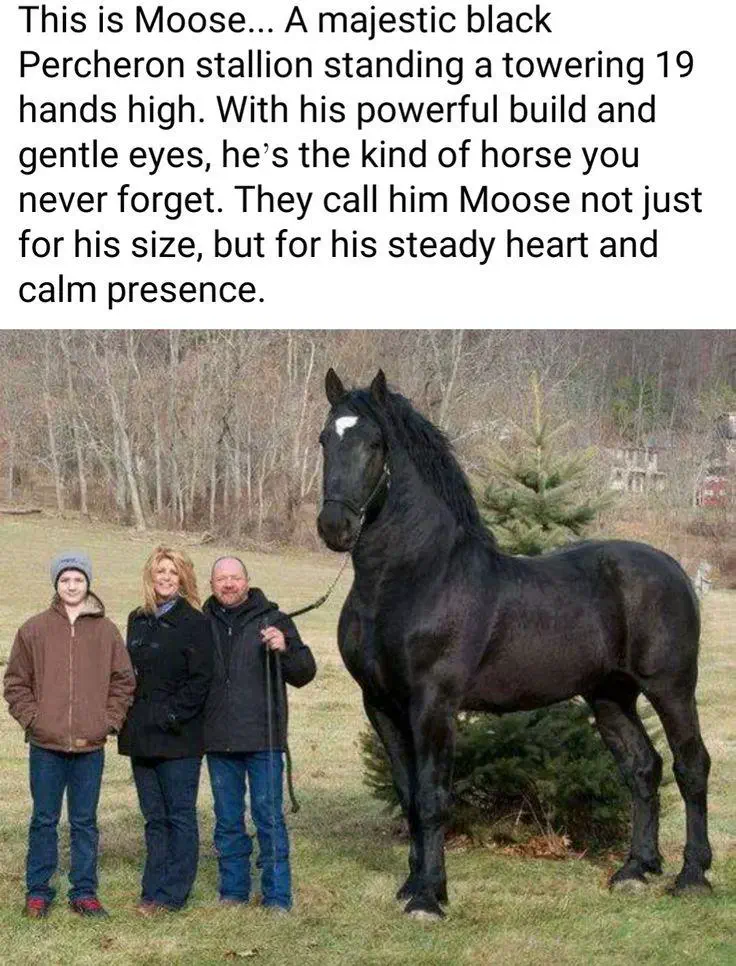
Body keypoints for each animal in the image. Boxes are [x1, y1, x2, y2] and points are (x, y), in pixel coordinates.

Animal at [316, 369, 712, 920]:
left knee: (690, 765)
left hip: (670, 687)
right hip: (610, 696)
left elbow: (434, 797)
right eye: (325, 439)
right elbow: (409, 795)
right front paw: (413, 884)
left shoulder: (433, 704)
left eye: (375, 443)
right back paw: (634, 870)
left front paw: (429, 898)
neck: (414, 577)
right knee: (642, 768)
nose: (335, 527)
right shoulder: (380, 705)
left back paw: (692, 875)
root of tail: (674, 568)